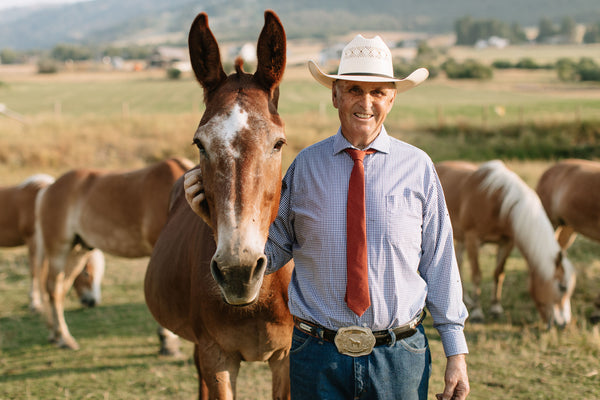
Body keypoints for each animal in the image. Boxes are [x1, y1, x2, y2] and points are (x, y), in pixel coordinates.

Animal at [35, 156, 193, 350]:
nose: (90, 302)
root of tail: (48, 189)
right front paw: (167, 341)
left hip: (77, 252)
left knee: (61, 290)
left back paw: (57, 335)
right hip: (59, 251)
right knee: (54, 289)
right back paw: (65, 339)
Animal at [436, 160, 576, 328]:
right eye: (562, 287)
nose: (564, 324)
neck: (495, 200)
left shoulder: (506, 242)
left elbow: (499, 273)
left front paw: (495, 308)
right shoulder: (472, 240)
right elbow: (477, 276)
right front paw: (477, 313)